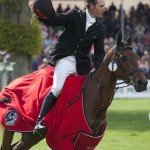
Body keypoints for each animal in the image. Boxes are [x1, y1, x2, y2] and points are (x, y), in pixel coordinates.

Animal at [0, 31, 148, 150]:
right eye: (123, 57)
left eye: (137, 57)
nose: (143, 82)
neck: (94, 100)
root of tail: (12, 83)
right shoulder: (63, 139)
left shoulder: (86, 142)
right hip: (12, 128)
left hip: (31, 136)